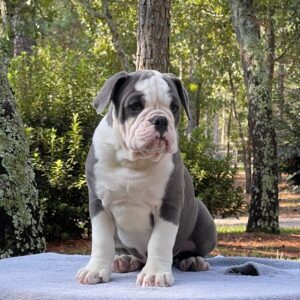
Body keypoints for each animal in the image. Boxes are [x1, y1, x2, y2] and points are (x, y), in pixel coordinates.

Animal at [76, 69, 217, 288]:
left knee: (187, 251)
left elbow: (160, 242)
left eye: (174, 107)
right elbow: (101, 241)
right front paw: (95, 270)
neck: (134, 161)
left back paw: (193, 260)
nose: (161, 120)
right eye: (135, 106)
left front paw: (154, 274)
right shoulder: (99, 205)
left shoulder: (168, 205)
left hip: (203, 217)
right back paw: (124, 259)